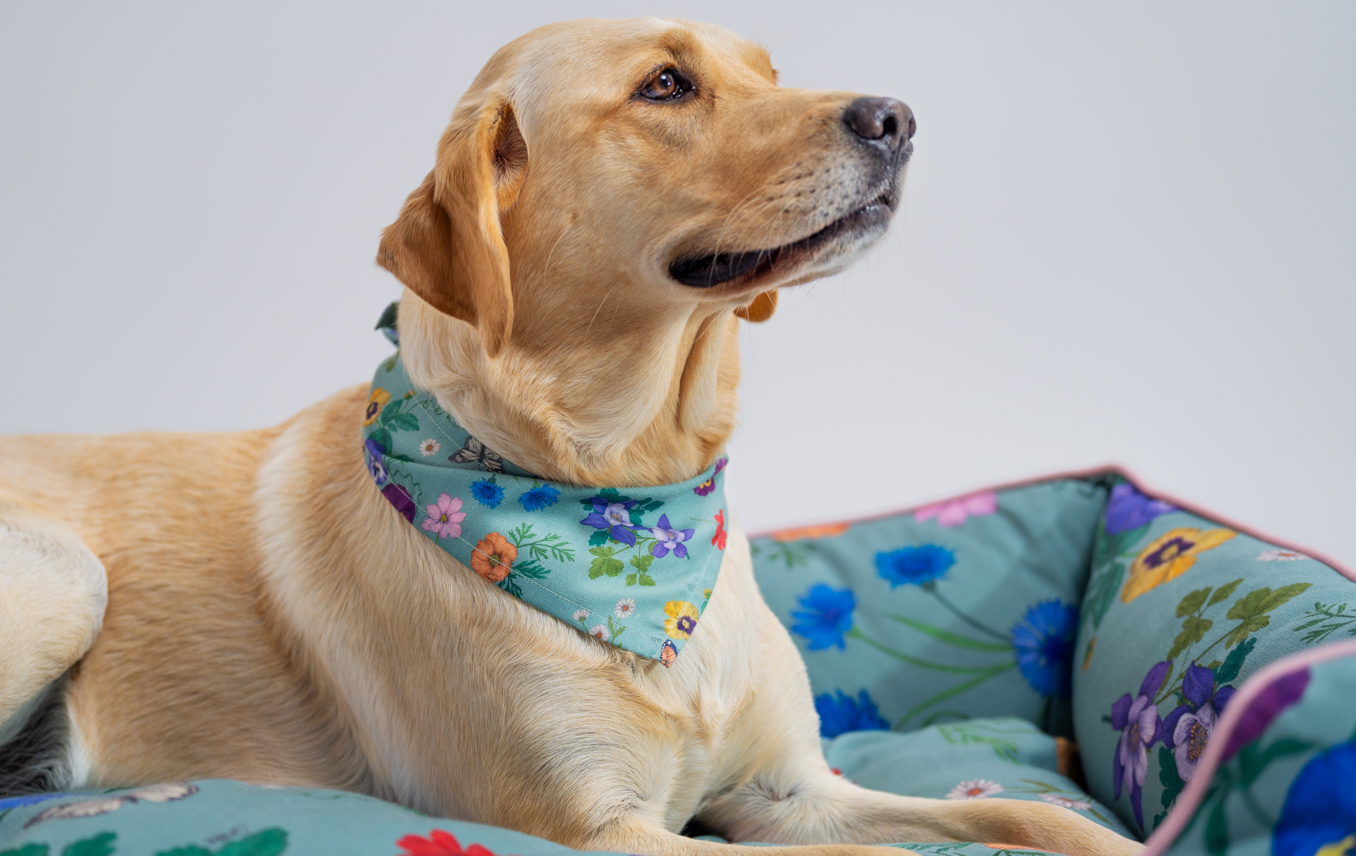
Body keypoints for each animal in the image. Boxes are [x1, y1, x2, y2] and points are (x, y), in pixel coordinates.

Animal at [0, 18, 1139, 856]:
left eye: (769, 70)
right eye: (666, 86)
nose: (895, 117)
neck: (626, 490)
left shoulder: (794, 790)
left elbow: (1020, 812)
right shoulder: (595, 828)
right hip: (65, 568)